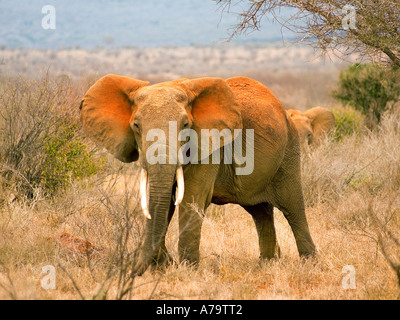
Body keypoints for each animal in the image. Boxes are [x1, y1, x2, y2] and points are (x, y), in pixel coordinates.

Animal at [79, 74, 316, 276]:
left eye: (185, 125)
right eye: (136, 126)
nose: (131, 272)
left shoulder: (209, 145)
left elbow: (190, 198)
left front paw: (187, 269)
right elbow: (165, 203)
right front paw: (163, 266)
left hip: (289, 151)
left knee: (293, 207)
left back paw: (309, 263)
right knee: (261, 211)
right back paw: (267, 263)